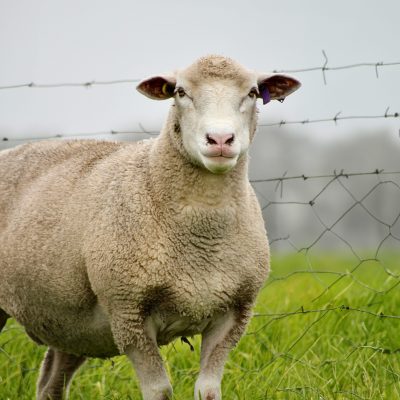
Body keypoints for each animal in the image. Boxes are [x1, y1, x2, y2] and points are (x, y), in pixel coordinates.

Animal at [0, 54, 300, 398]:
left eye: (252, 92)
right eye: (180, 92)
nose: (220, 139)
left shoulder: (234, 314)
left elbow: (209, 390)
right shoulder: (129, 313)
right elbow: (159, 390)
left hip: (70, 323)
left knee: (50, 383)